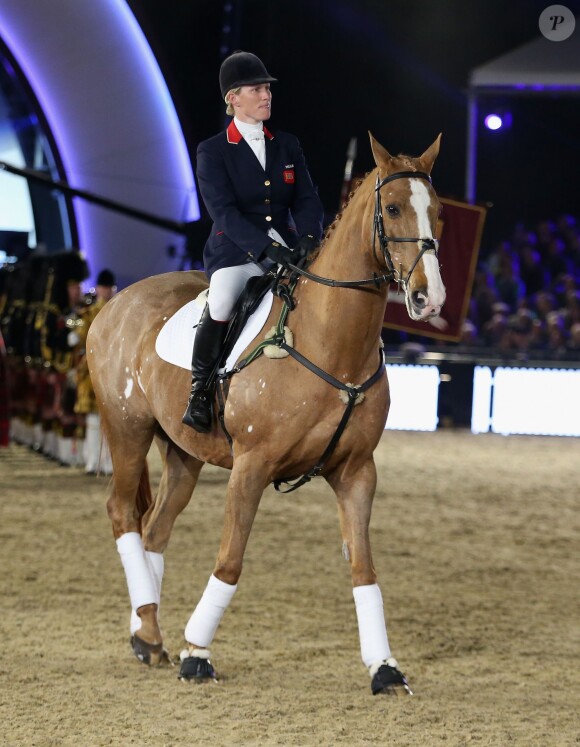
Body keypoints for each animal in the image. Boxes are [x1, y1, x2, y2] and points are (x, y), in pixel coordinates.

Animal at [88, 133, 446, 696]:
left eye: (439, 213)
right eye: (391, 208)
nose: (428, 298)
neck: (331, 343)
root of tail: (116, 302)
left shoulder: (356, 472)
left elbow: (364, 570)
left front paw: (385, 668)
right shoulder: (251, 468)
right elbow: (231, 561)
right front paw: (198, 654)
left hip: (184, 453)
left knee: (155, 529)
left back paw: (147, 632)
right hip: (127, 428)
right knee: (124, 514)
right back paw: (151, 633)